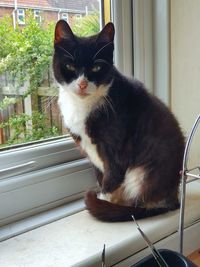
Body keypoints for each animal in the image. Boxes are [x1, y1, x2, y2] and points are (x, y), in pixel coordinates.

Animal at [52, 20, 184, 222]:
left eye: (96, 68)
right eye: (70, 66)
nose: (82, 84)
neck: (82, 105)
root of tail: (173, 199)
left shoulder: (117, 147)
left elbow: (111, 176)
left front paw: (103, 201)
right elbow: (100, 175)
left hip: (143, 174)